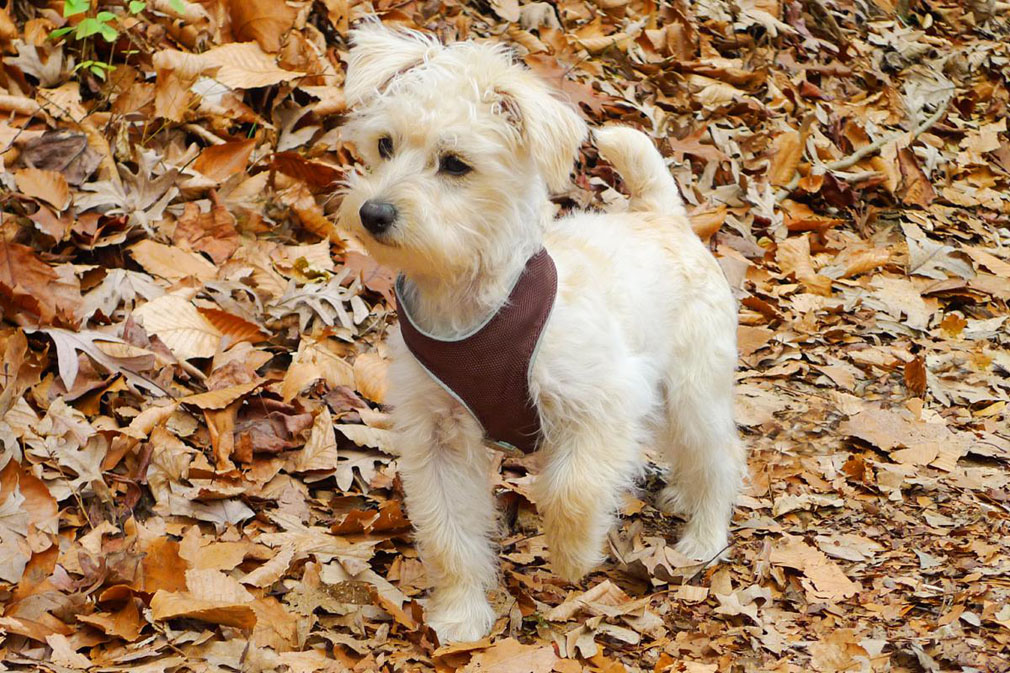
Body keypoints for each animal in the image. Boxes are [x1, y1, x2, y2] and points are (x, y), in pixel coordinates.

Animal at [337, 22, 743, 638]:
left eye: (455, 164)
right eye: (384, 145)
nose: (374, 213)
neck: (476, 305)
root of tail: (661, 217)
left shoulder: (603, 402)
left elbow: (571, 489)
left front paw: (574, 555)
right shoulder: (436, 437)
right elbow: (449, 533)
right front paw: (460, 615)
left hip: (694, 392)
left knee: (719, 460)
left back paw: (704, 536)